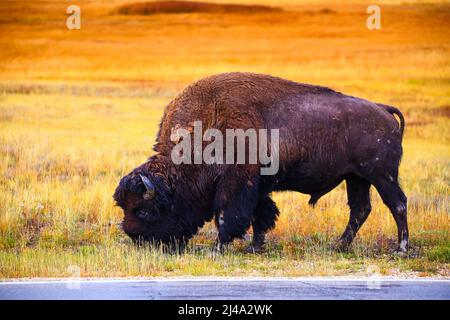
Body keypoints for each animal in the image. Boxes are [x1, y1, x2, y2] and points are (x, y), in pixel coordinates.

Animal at [114, 72, 410, 255]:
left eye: (144, 210)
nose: (134, 236)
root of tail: (383, 110)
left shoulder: (236, 184)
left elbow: (227, 216)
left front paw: (218, 249)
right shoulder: (256, 186)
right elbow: (261, 215)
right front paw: (255, 246)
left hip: (382, 176)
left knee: (397, 204)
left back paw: (400, 249)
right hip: (356, 178)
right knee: (360, 209)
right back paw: (339, 246)